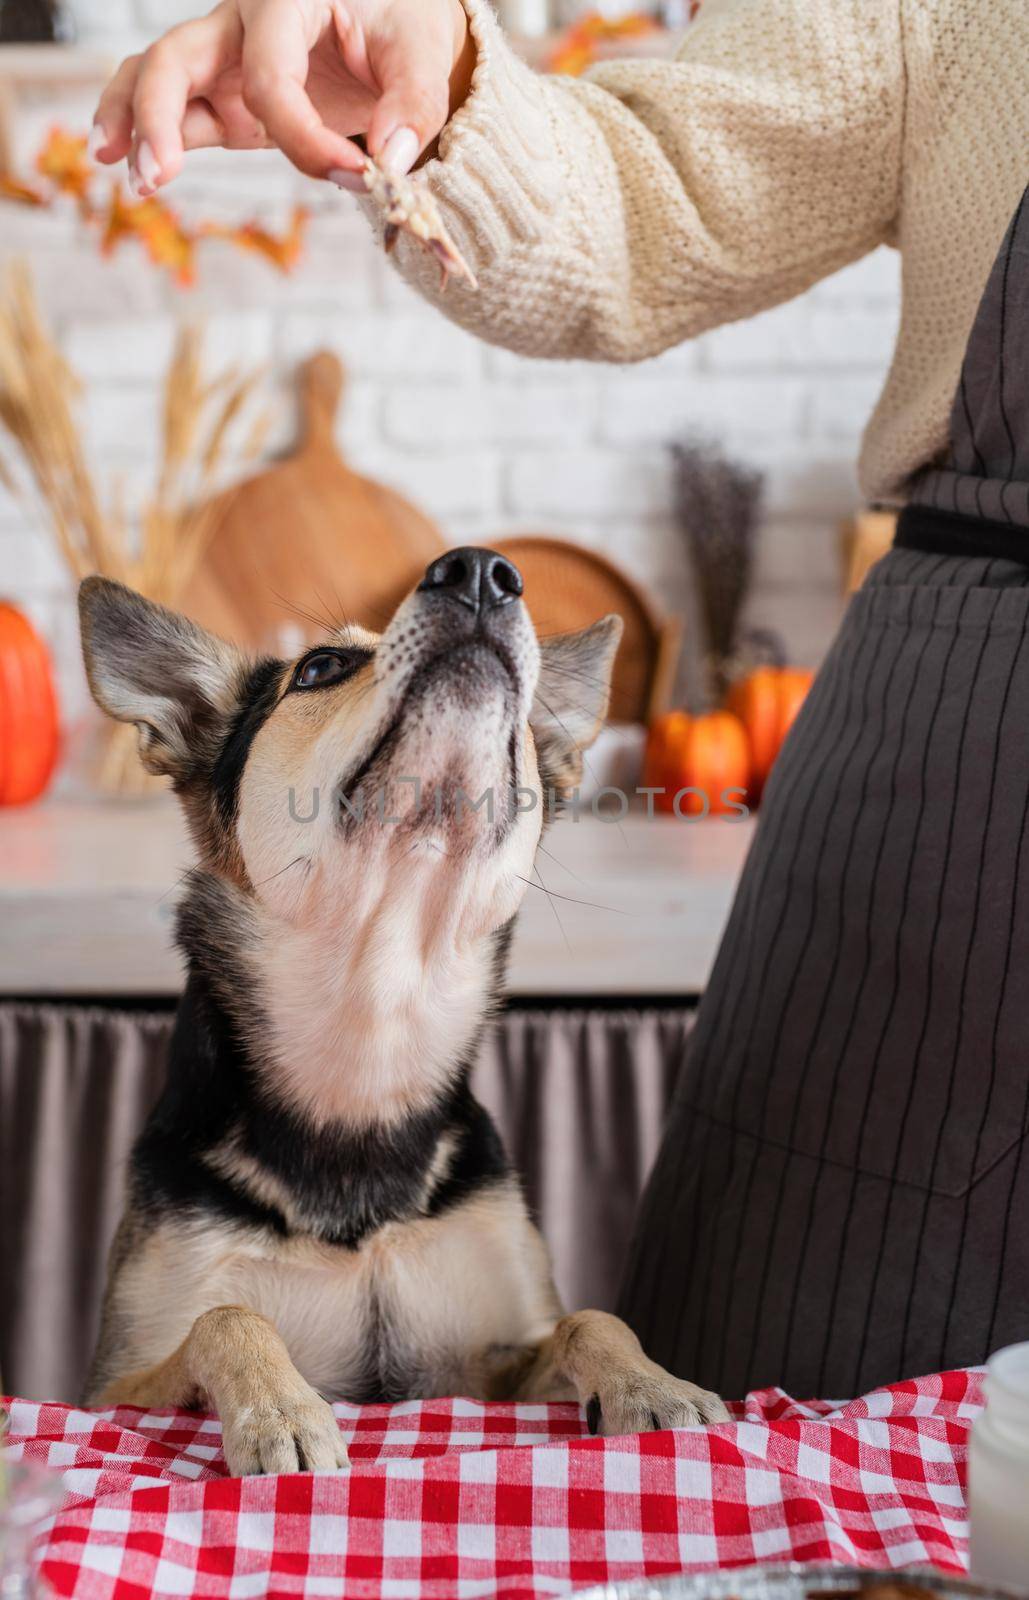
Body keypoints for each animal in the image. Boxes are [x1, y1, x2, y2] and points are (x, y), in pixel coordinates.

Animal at [78, 550, 723, 1472]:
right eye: (319, 667)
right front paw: (280, 1412)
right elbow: (225, 1316)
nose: (482, 571)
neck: (372, 1029)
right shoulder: (111, 1386)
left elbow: (588, 1319)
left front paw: (653, 1386)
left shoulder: (484, 1365)